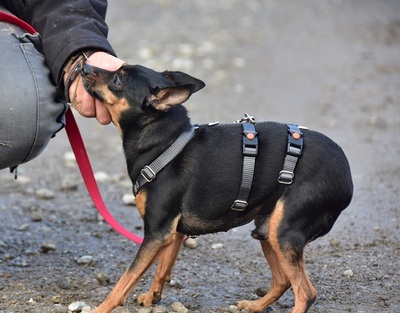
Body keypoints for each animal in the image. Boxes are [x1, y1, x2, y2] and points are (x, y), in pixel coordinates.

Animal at [81, 63, 354, 312]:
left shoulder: (156, 233)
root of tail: (347, 181)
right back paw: (255, 305)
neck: (164, 142)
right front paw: (152, 297)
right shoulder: (172, 233)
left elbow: (125, 280)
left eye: (117, 79)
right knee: (283, 281)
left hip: (284, 232)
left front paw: (101, 309)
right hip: (268, 229)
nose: (83, 66)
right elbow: (162, 268)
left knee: (306, 293)